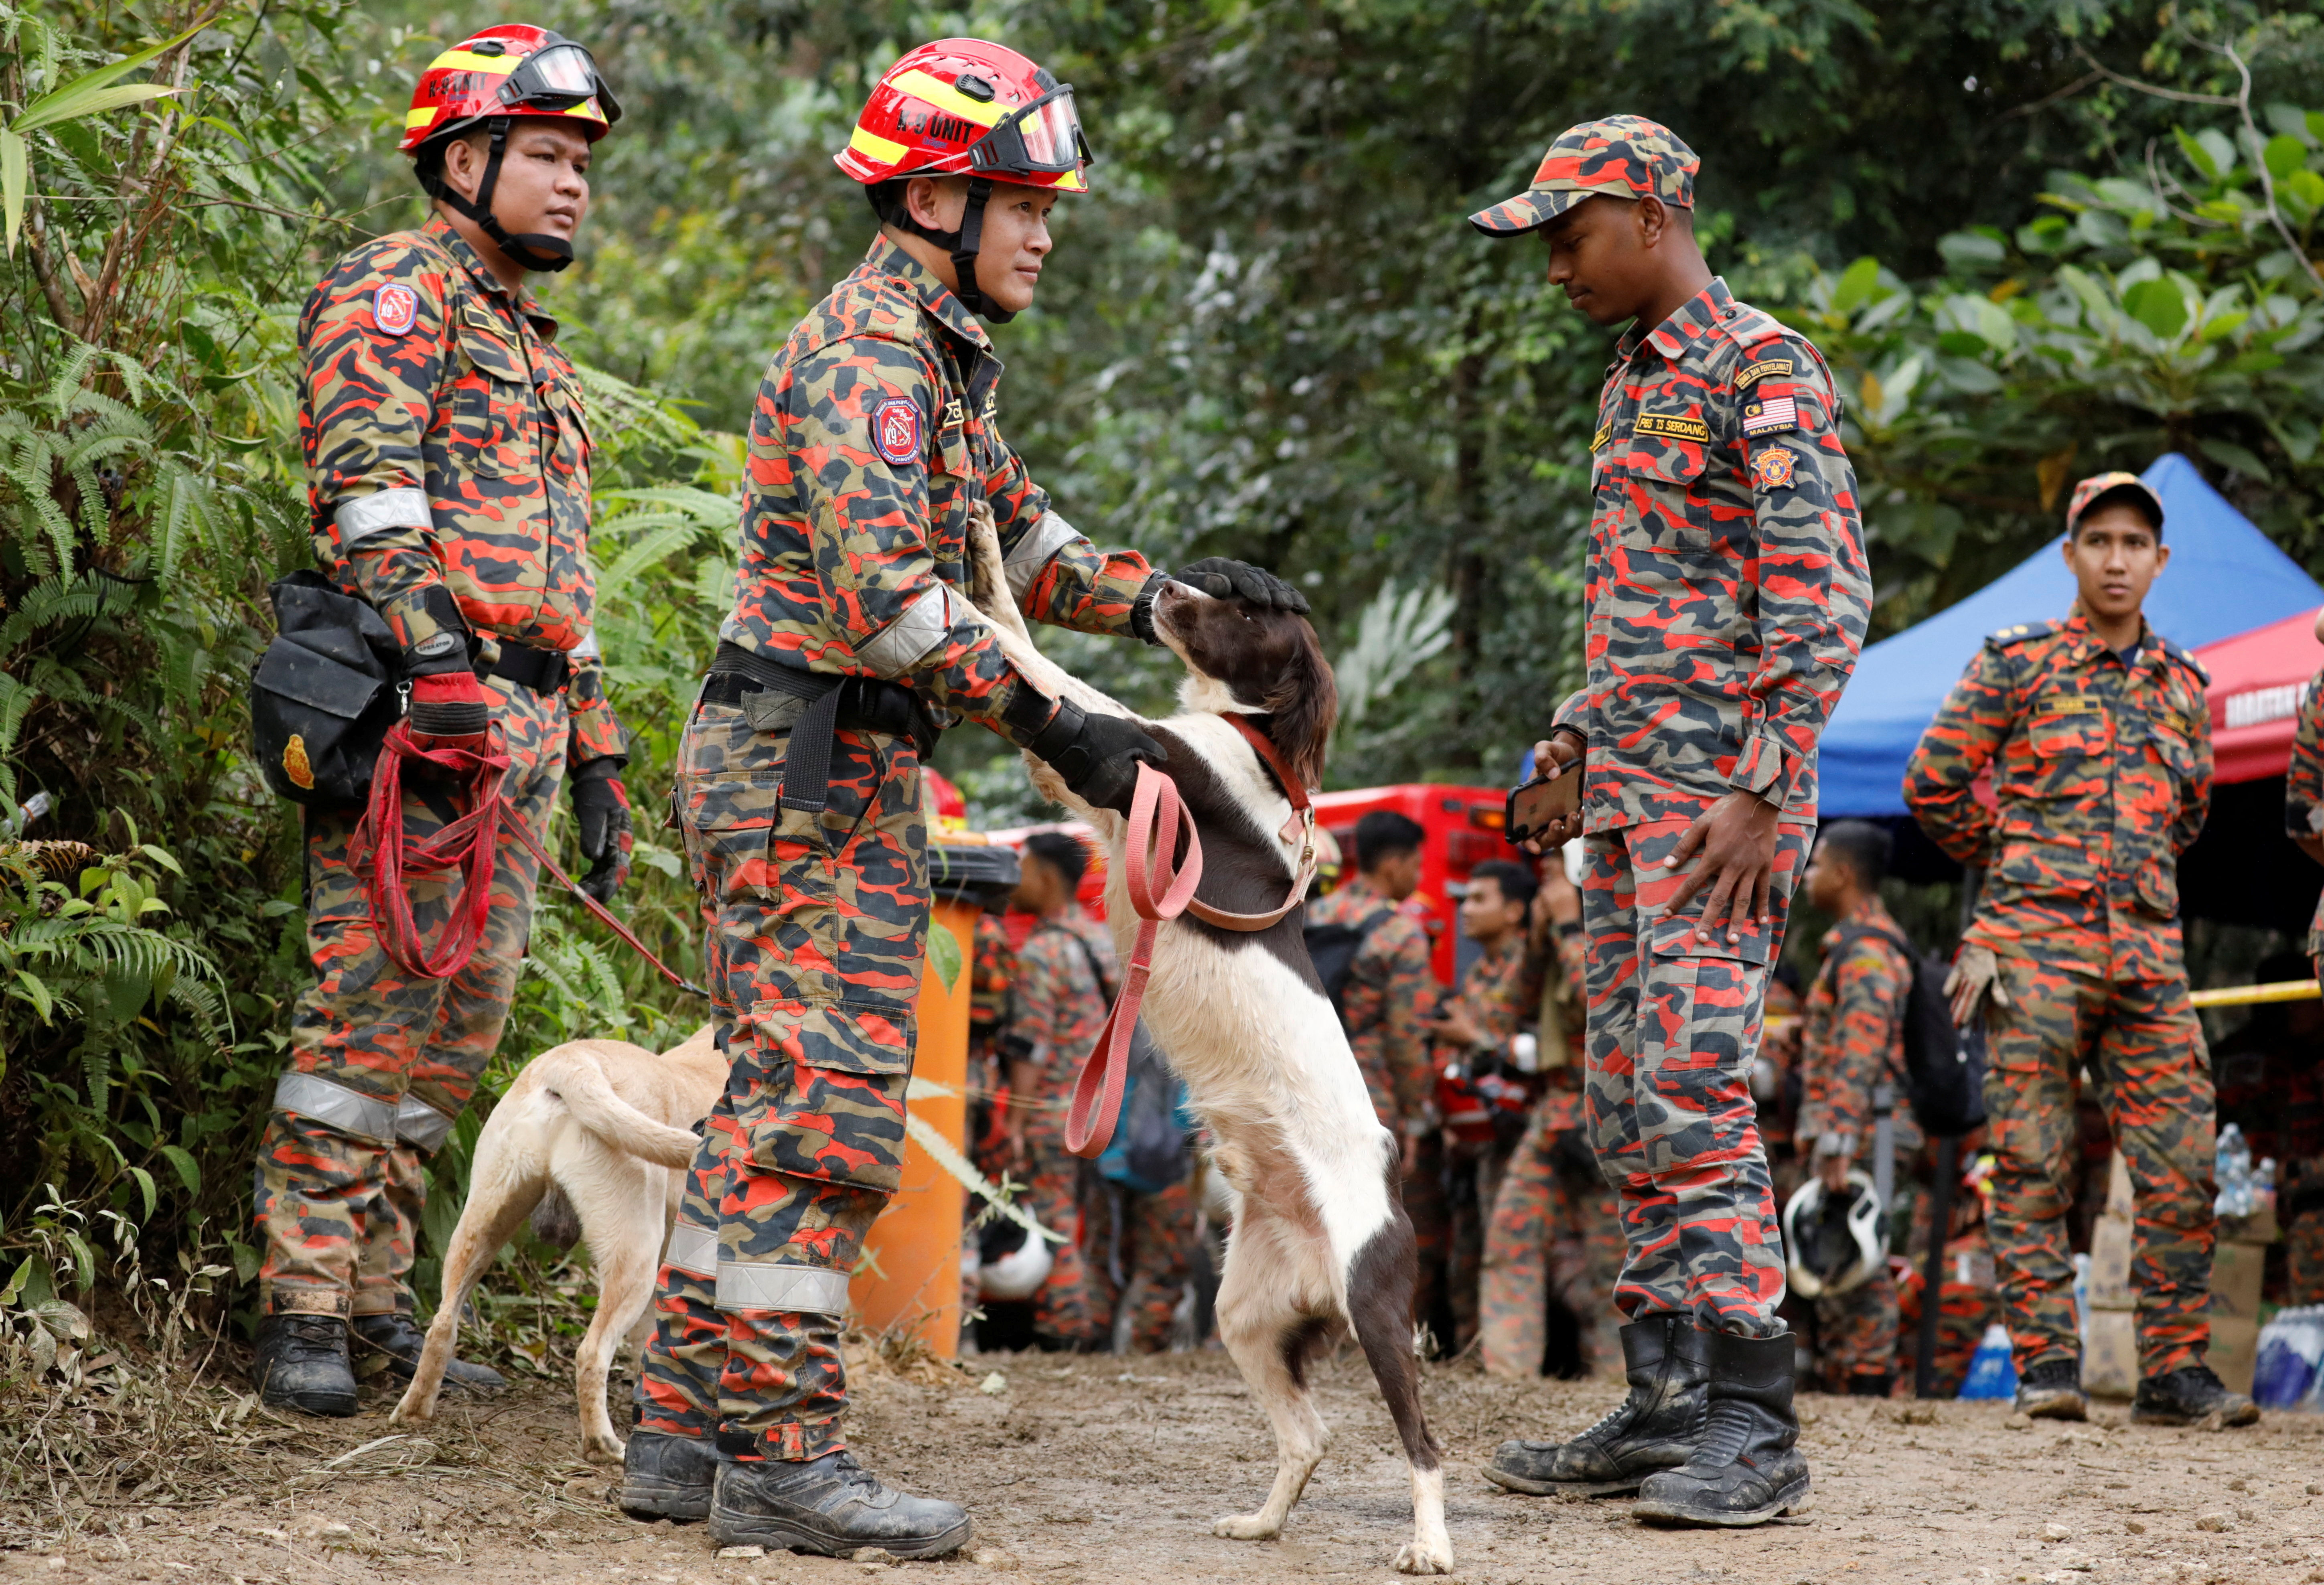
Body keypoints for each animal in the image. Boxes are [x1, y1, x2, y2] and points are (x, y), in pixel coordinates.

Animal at [388, 1022, 725, 1459]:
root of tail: (570, 1062)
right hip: (634, 1256)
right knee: (591, 1354)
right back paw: (604, 1445)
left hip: (479, 1227)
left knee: (442, 1326)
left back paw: (414, 1412)